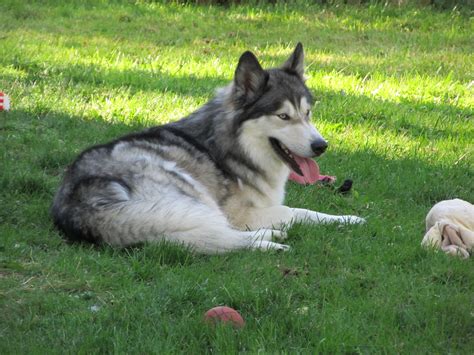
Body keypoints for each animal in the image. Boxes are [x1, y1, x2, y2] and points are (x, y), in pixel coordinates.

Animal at [51, 43, 364, 254]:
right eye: (283, 116)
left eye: (308, 113)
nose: (321, 146)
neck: (235, 149)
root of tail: (76, 203)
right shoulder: (241, 214)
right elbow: (295, 212)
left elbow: (305, 212)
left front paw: (346, 219)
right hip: (189, 198)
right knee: (222, 235)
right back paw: (268, 242)